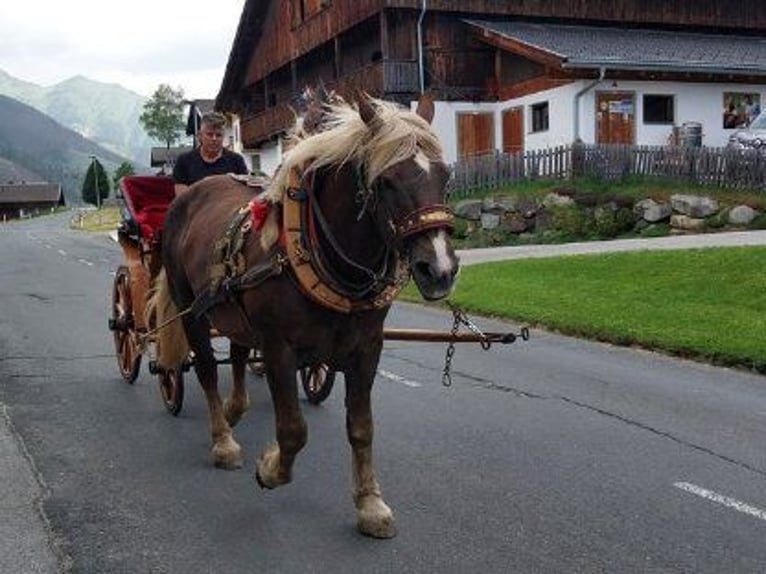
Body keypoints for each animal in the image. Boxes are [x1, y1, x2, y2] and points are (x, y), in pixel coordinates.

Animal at [153, 94, 460, 540]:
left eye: (444, 176)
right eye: (386, 181)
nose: (439, 270)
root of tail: (188, 197)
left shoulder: (367, 348)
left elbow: (362, 428)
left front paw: (370, 504)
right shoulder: (279, 347)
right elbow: (294, 431)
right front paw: (270, 469)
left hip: (234, 312)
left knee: (239, 355)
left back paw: (234, 409)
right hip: (191, 308)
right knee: (208, 369)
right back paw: (223, 439)